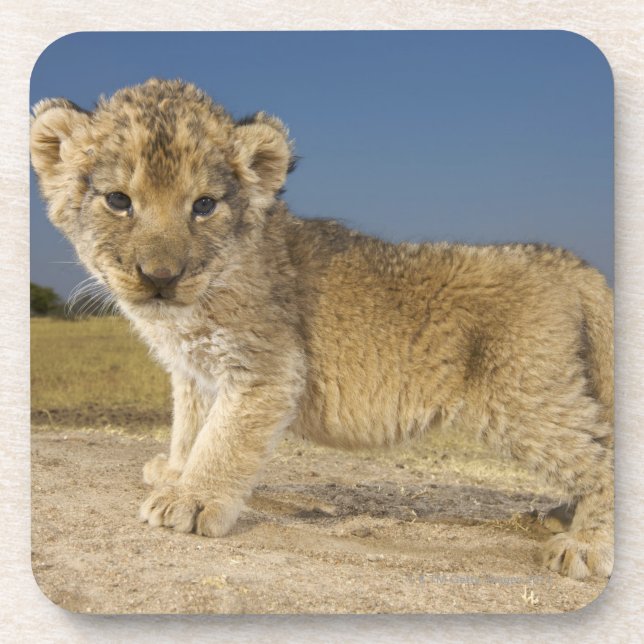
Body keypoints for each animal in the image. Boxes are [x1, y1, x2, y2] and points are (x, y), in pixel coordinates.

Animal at [30, 78, 613, 580]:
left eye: (204, 206)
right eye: (118, 201)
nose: (160, 277)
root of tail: (567, 261)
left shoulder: (268, 368)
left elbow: (222, 439)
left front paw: (191, 499)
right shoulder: (194, 373)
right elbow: (189, 427)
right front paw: (175, 472)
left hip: (524, 398)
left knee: (601, 455)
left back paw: (586, 545)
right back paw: (562, 517)